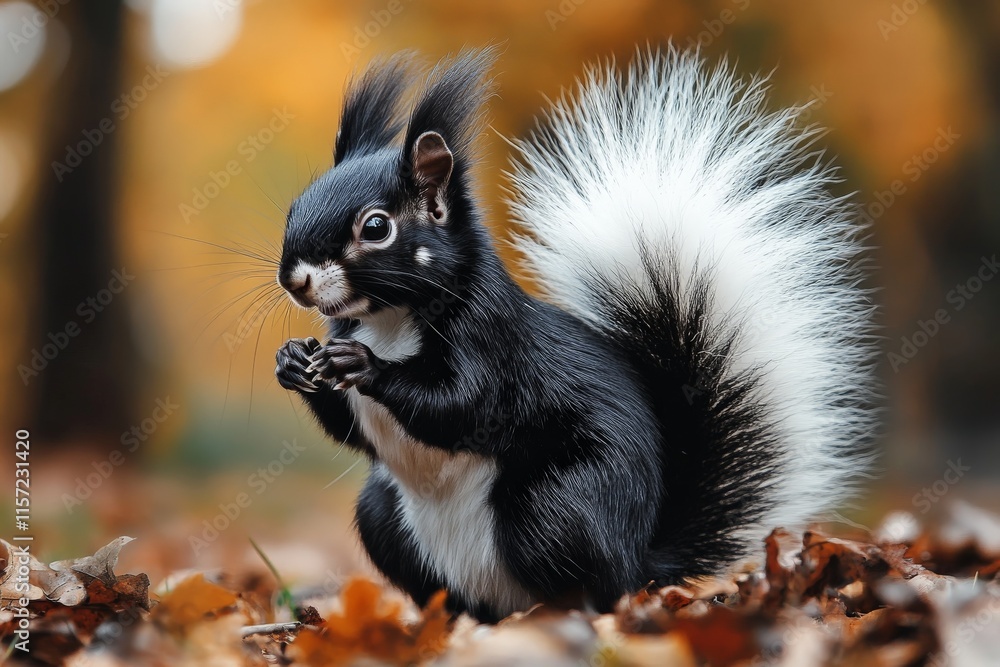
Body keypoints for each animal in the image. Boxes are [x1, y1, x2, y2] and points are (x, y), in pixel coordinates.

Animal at [273, 47, 876, 622]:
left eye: (376, 227)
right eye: (295, 203)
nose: (294, 278)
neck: (387, 320)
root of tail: (641, 566)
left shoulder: (492, 342)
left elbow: (462, 405)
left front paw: (364, 366)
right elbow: (350, 427)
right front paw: (294, 361)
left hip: (557, 507)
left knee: (588, 581)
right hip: (387, 518)